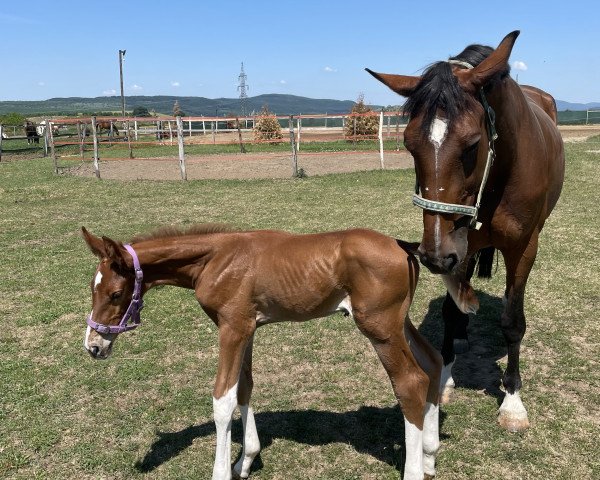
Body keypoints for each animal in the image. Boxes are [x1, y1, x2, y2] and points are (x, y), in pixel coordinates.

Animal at [81, 225, 450, 480]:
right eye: (92, 289)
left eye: (115, 294)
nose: (93, 346)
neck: (214, 259)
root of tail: (404, 247)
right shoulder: (247, 328)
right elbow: (244, 387)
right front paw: (245, 461)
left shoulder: (232, 328)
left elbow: (223, 399)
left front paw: (221, 472)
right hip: (398, 322)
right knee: (433, 361)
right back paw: (430, 456)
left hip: (379, 327)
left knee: (410, 381)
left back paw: (414, 470)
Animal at [366, 32, 564, 432]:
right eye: (409, 145)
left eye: (473, 145)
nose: (432, 255)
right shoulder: (460, 246)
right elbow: (451, 311)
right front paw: (444, 378)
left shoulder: (523, 249)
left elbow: (513, 321)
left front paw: (513, 401)